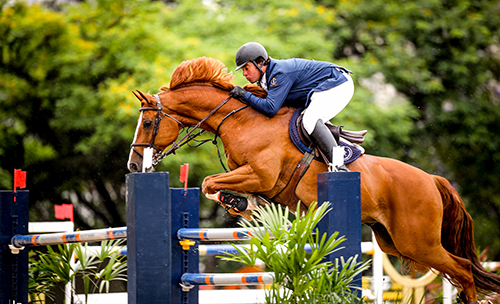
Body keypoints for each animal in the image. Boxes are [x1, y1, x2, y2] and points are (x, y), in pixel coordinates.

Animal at [128, 56, 500, 302]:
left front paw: (238, 203)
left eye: (147, 123)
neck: (240, 121)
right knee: (459, 269)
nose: (133, 165)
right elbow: (213, 185)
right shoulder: (250, 176)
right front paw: (244, 205)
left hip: (417, 241)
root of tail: (433, 179)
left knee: (463, 270)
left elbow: (209, 183)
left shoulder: (259, 174)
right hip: (393, 241)